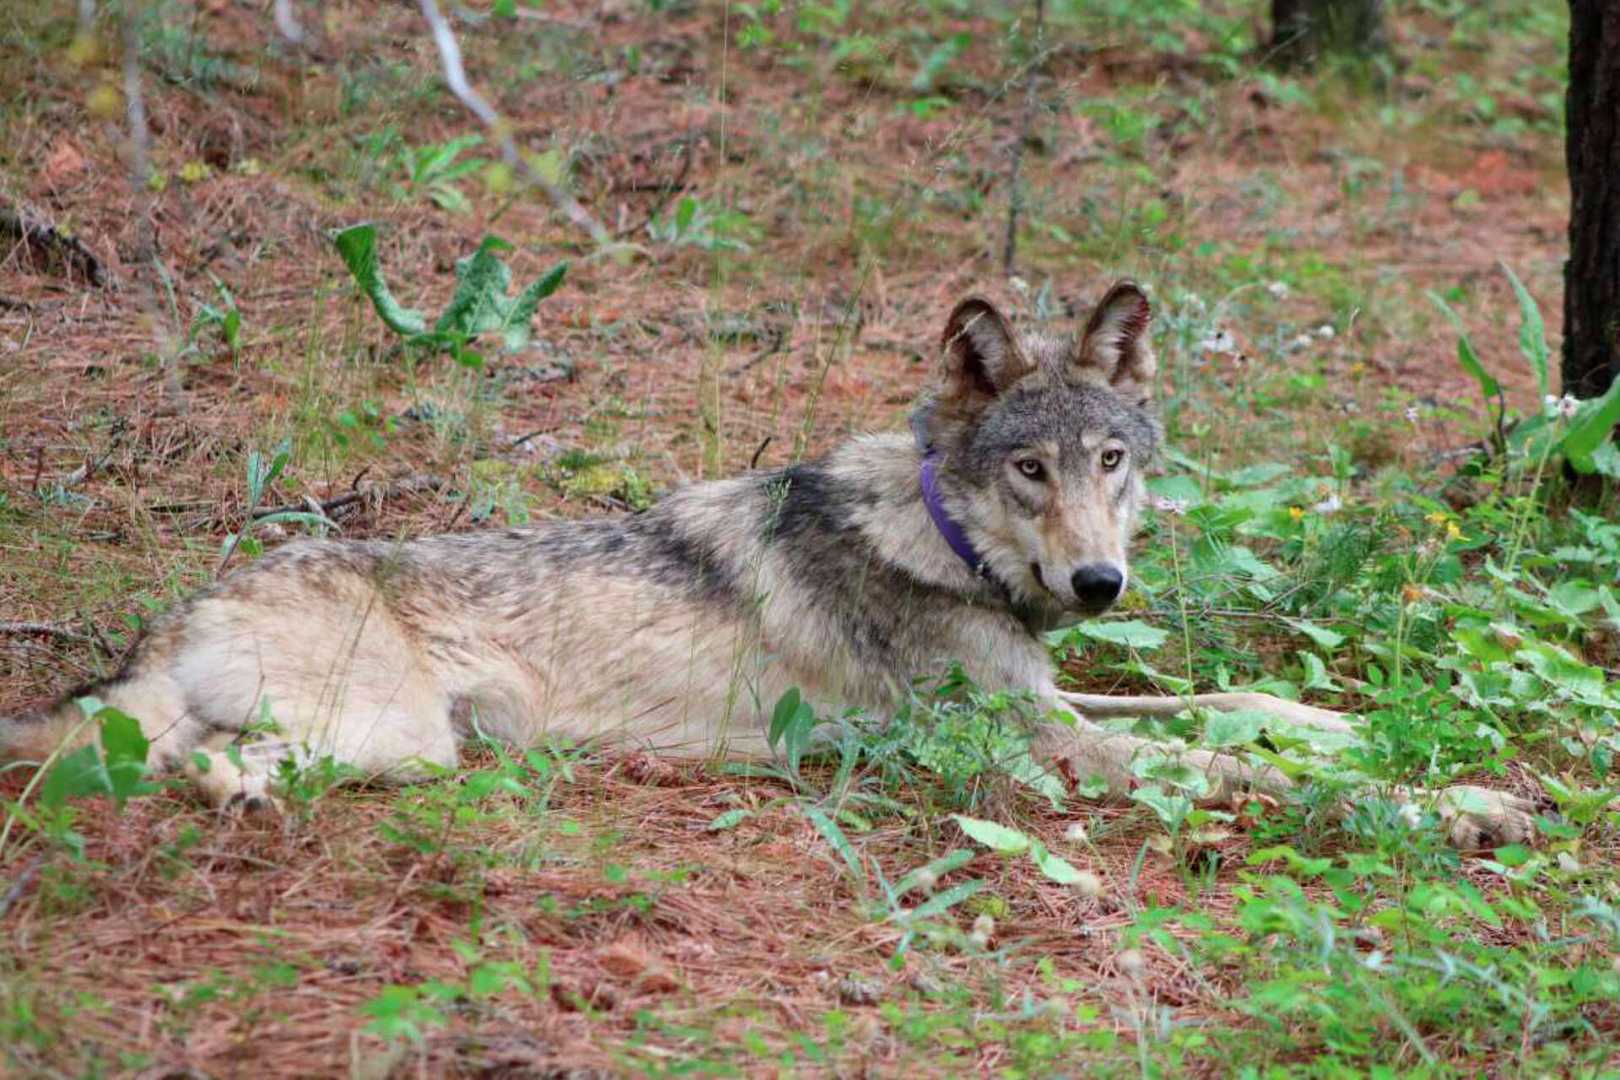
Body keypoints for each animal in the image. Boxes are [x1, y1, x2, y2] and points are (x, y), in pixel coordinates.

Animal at [0, 283, 1529, 848]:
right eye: (1029, 471)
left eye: (1113, 461)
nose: (1099, 588)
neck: (942, 540)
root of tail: (187, 604)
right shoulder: (1039, 750)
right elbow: (1226, 765)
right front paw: (1461, 806)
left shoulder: (1049, 702)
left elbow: (1233, 707)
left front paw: (1346, 727)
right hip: (398, 741)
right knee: (180, 764)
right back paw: (222, 797)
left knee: (155, 750)